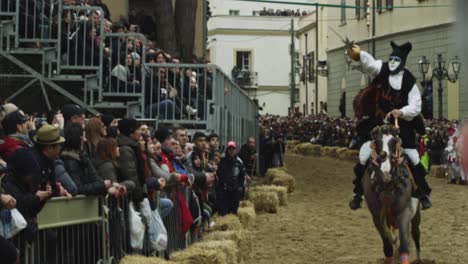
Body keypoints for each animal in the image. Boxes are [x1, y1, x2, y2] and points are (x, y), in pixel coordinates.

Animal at [360, 127, 422, 262]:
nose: (386, 172)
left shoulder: (404, 213)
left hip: (416, 214)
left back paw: (419, 258)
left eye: (394, 142)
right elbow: (388, 246)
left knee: (416, 233)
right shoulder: (377, 217)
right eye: (377, 142)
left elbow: (404, 247)